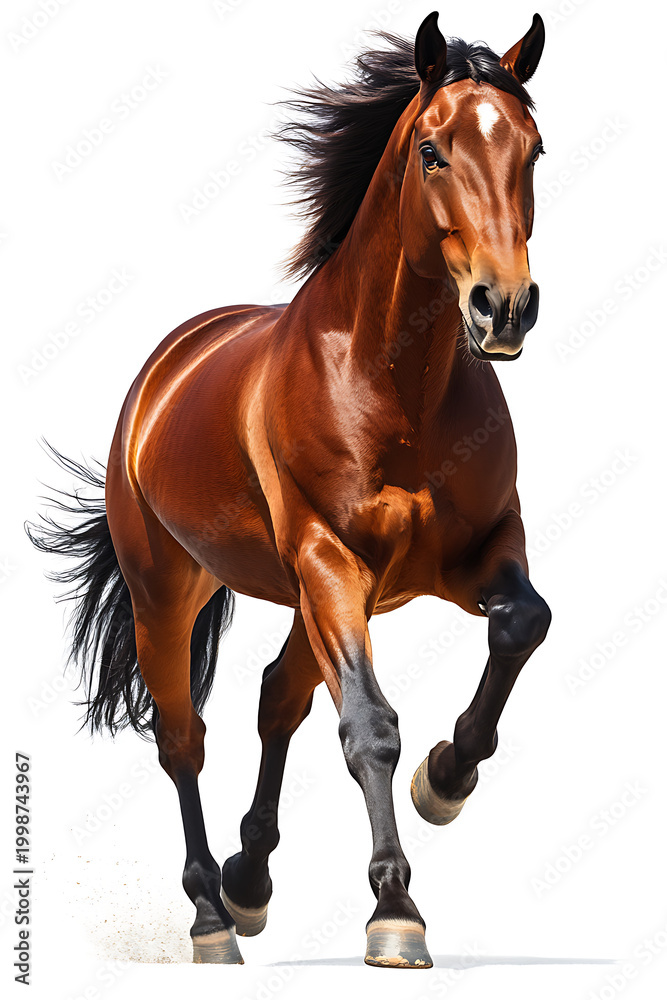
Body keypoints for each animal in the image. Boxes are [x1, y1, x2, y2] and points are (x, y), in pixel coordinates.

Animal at [29, 11, 551, 969]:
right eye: (432, 151)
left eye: (532, 150)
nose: (504, 308)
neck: (395, 385)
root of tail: (166, 366)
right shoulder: (326, 558)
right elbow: (369, 726)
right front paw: (395, 913)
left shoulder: (475, 550)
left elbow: (521, 624)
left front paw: (444, 779)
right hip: (176, 593)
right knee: (182, 740)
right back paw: (211, 915)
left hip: (330, 597)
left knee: (277, 695)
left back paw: (250, 882)